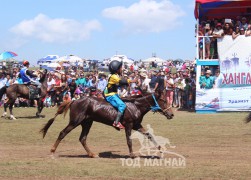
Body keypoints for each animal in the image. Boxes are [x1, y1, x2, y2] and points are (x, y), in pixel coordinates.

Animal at [40, 90, 175, 158]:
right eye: (163, 100)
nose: (171, 114)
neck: (136, 106)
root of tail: (74, 100)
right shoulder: (129, 125)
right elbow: (129, 141)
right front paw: (132, 155)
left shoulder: (137, 125)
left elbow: (149, 135)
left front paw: (160, 149)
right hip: (75, 122)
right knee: (63, 133)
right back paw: (52, 151)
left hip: (87, 123)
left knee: (82, 138)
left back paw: (92, 154)